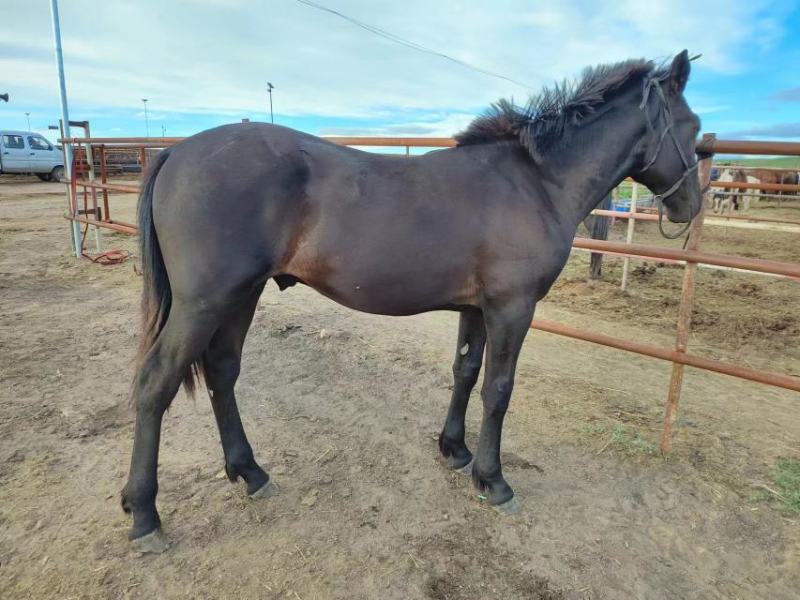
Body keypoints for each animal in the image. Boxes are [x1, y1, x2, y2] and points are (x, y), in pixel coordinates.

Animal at [121, 51, 704, 553]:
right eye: (695, 128)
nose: (689, 208)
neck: (535, 182)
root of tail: (176, 151)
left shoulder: (477, 309)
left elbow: (465, 372)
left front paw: (455, 450)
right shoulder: (512, 308)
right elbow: (498, 390)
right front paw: (493, 480)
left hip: (241, 295)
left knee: (221, 372)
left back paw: (251, 473)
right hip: (205, 301)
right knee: (155, 383)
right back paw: (145, 515)